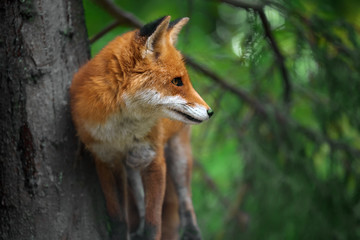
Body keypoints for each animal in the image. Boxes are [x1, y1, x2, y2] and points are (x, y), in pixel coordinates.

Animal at [69, 15, 212, 239]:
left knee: (185, 199)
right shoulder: (106, 160)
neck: (122, 130)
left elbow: (154, 224)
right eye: (177, 81)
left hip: (177, 157)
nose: (210, 111)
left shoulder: (152, 159)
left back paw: (192, 231)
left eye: (185, 80)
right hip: (131, 166)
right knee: (139, 201)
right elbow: (119, 218)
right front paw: (122, 234)